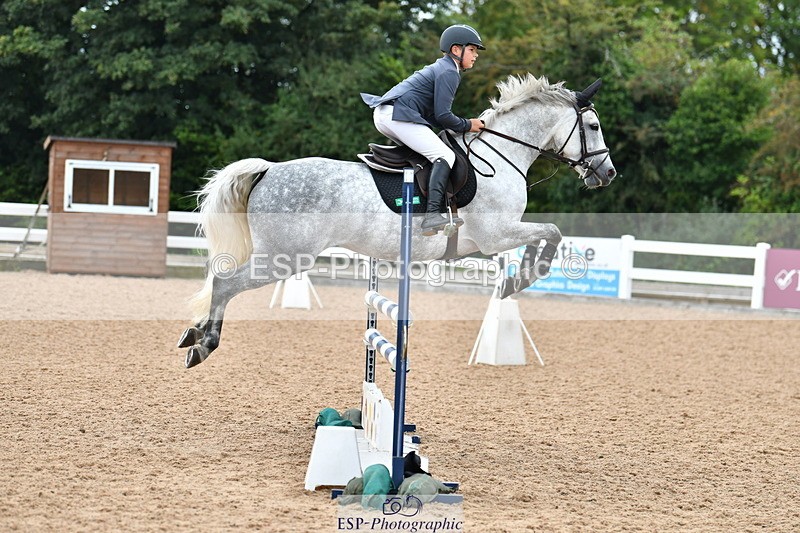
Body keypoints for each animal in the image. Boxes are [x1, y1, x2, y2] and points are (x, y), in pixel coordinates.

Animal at [177, 74, 617, 368]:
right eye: (593, 126)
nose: (608, 173)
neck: (502, 155)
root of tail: (269, 169)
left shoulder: (493, 240)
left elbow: (543, 238)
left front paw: (514, 280)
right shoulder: (497, 235)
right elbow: (552, 234)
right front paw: (521, 279)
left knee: (223, 282)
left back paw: (194, 334)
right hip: (285, 257)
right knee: (225, 282)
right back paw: (203, 343)